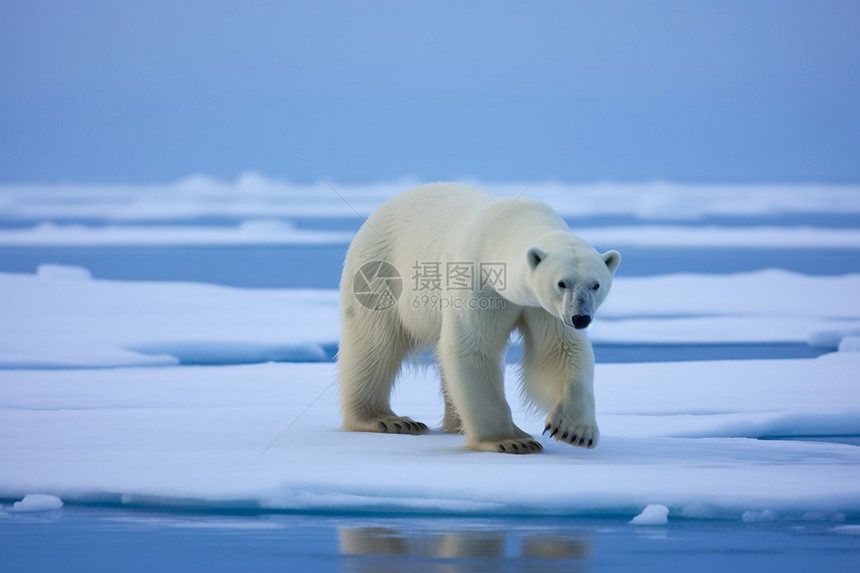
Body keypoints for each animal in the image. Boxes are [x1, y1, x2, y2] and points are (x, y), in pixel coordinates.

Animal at [336, 182, 620, 452]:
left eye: (595, 285)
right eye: (562, 283)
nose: (580, 318)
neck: (508, 226)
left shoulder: (541, 306)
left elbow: (558, 350)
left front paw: (575, 431)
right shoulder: (477, 278)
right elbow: (471, 348)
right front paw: (511, 441)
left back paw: (454, 423)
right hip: (380, 271)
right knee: (374, 345)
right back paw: (387, 419)